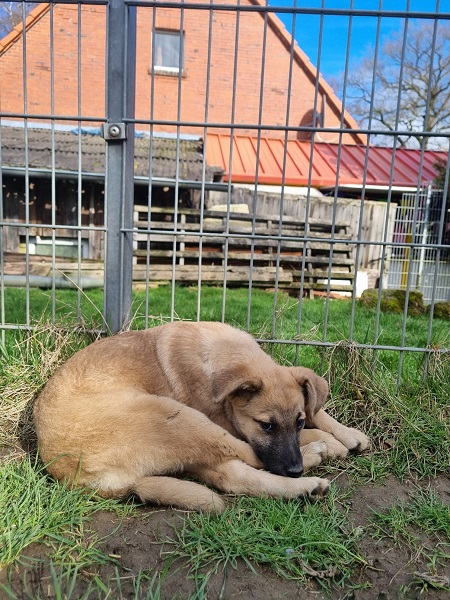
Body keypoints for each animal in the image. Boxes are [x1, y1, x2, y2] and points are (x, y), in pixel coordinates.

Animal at [34, 321, 369, 513]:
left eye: (298, 421)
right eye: (266, 425)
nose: (295, 470)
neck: (221, 355)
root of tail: (74, 478)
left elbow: (317, 409)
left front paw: (349, 434)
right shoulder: (225, 422)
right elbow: (258, 445)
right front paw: (328, 441)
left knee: (233, 476)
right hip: (176, 416)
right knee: (243, 461)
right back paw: (313, 465)